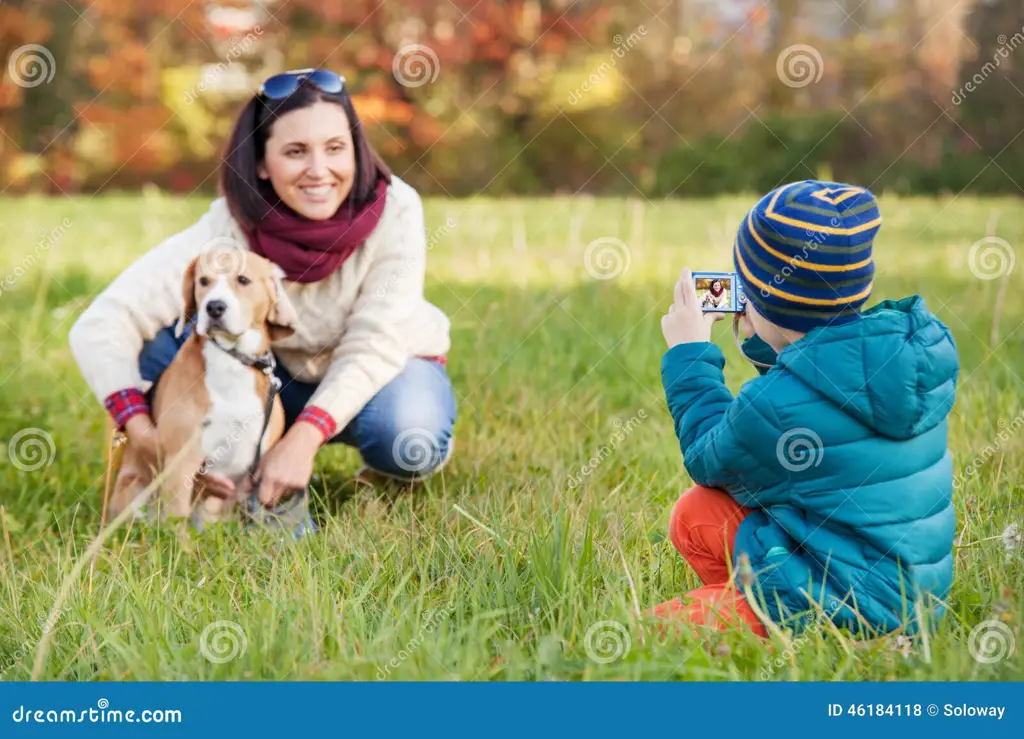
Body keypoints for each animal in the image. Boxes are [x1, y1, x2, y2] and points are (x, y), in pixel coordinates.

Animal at [110, 248, 299, 524]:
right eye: (203, 281)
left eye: (242, 280)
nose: (214, 307)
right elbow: (176, 520)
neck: (232, 361)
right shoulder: (181, 463)